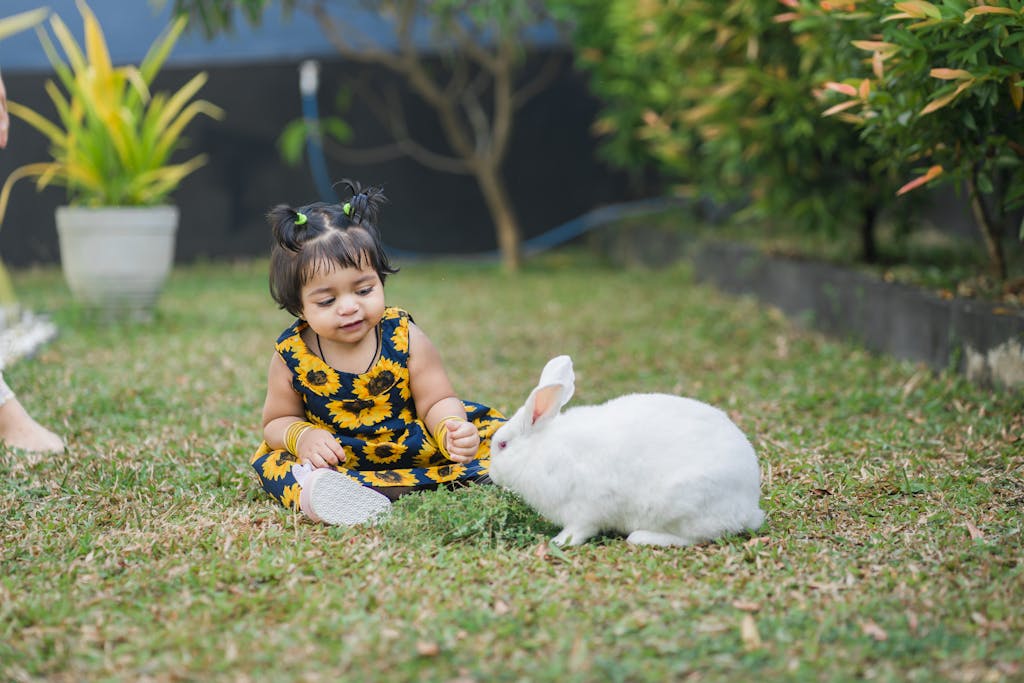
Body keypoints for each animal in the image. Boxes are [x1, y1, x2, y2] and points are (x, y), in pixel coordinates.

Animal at [485, 356, 761, 548]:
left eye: (503, 445)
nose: (492, 474)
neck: (538, 451)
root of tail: (749, 507)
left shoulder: (585, 508)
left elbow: (580, 529)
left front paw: (559, 542)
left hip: (682, 504)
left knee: (697, 537)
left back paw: (641, 537)